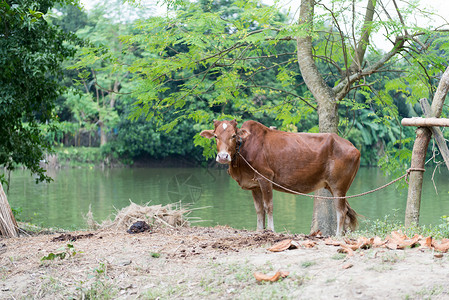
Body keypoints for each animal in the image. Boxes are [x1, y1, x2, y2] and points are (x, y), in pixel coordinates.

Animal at [200, 119, 360, 234]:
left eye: (233, 135)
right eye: (216, 136)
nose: (223, 156)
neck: (244, 148)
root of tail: (353, 147)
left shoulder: (265, 178)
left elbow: (268, 206)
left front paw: (271, 229)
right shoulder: (255, 185)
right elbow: (259, 209)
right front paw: (259, 230)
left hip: (338, 186)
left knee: (341, 211)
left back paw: (338, 236)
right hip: (334, 187)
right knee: (346, 211)